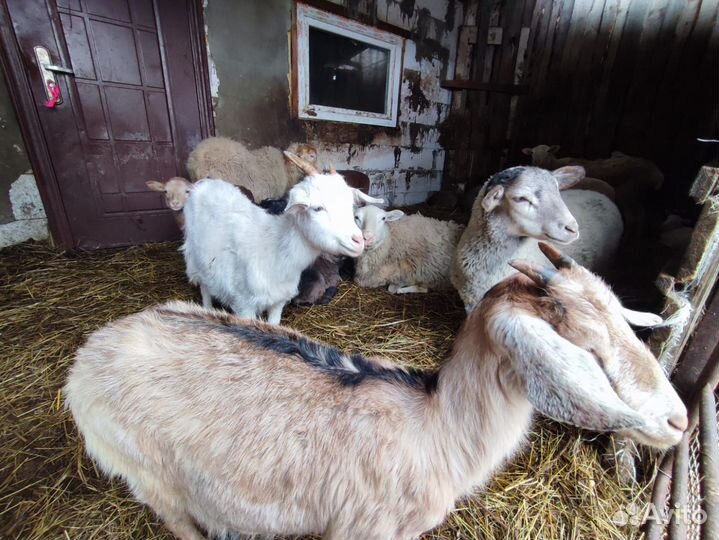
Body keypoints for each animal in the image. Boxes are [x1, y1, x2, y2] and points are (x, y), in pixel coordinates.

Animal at [64, 242, 687, 540]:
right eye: (586, 348)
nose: (680, 422)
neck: (437, 425)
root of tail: (86, 356)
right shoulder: (365, 530)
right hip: (148, 474)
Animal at [182, 151, 382, 324]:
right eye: (317, 208)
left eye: (350, 205)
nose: (359, 241)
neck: (276, 250)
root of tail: (204, 183)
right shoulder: (244, 304)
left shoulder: (278, 301)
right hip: (195, 258)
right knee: (204, 287)